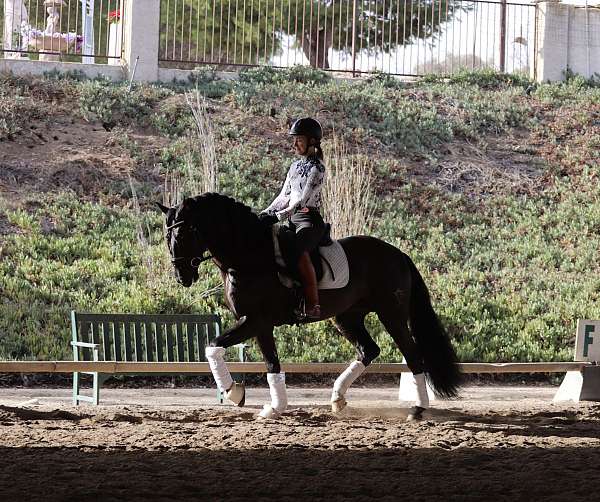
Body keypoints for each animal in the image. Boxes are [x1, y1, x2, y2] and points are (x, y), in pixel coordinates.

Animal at [157, 192, 462, 420]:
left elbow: (214, 347)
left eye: (182, 235)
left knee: (413, 356)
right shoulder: (259, 325)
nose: (182, 276)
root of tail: (398, 254)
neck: (249, 256)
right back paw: (338, 400)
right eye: (166, 236)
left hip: (392, 315)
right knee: (369, 350)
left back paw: (417, 409)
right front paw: (271, 406)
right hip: (347, 317)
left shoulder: (255, 321)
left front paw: (235, 393)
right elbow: (270, 363)